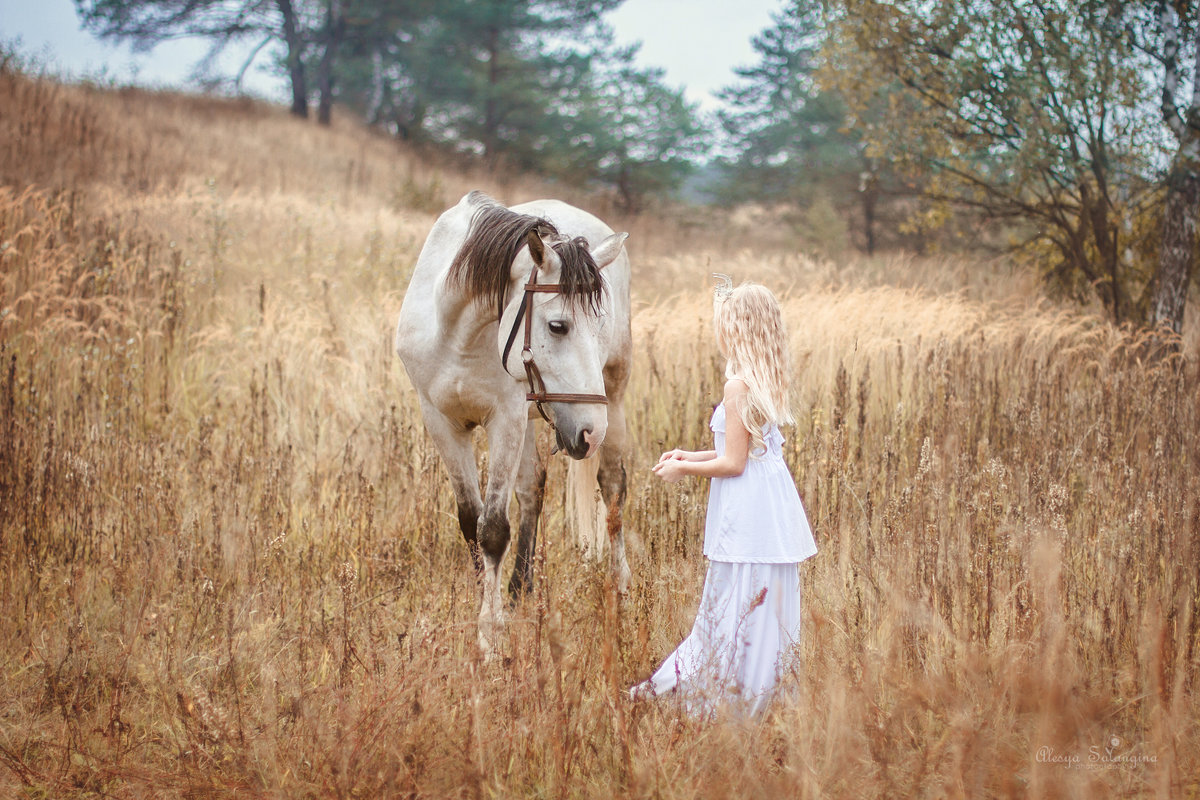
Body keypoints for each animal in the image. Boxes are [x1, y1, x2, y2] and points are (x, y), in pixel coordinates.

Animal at [396, 190, 638, 652]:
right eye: (557, 325)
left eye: (599, 326)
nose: (589, 431)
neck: (459, 334)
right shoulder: (441, 421)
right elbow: (471, 521)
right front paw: (489, 606)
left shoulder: (505, 419)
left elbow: (493, 529)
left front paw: (490, 637)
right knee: (532, 489)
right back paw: (519, 589)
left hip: (613, 395)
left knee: (612, 489)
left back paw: (619, 589)